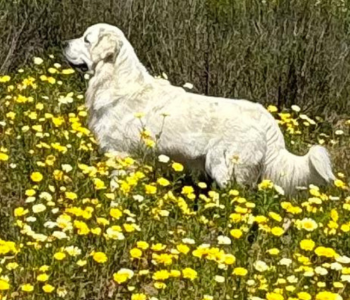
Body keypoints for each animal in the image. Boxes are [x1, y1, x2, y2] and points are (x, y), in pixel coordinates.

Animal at [63, 22, 336, 193]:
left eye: (86, 39)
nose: (64, 43)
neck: (115, 79)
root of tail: (266, 118)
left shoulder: (120, 154)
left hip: (226, 169)